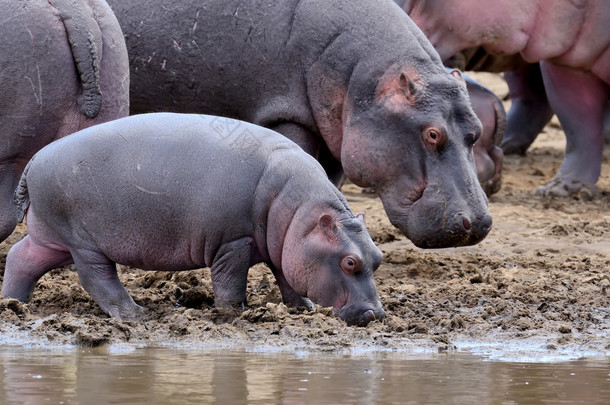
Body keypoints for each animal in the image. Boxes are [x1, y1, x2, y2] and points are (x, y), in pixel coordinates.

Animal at [0, 113, 382, 326]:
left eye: (377, 257)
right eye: (350, 262)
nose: (375, 314)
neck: (301, 215)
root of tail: (33, 160)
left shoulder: (285, 246)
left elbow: (287, 277)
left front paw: (303, 309)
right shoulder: (233, 241)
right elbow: (230, 283)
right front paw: (235, 313)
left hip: (53, 237)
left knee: (22, 257)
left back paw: (13, 304)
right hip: (82, 241)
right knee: (98, 279)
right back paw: (136, 315)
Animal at [104, 0, 492, 248]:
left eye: (476, 131)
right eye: (432, 133)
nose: (479, 223)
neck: (366, 80)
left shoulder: (337, 138)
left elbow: (328, 180)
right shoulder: (288, 116)